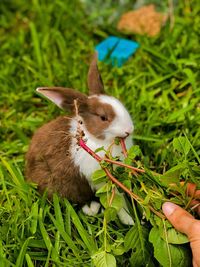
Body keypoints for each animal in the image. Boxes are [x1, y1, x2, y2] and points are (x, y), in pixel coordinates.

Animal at [25, 54, 134, 226]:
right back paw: (91, 208)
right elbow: (116, 199)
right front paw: (129, 220)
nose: (129, 129)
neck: (95, 139)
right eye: (103, 118)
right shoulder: (100, 180)